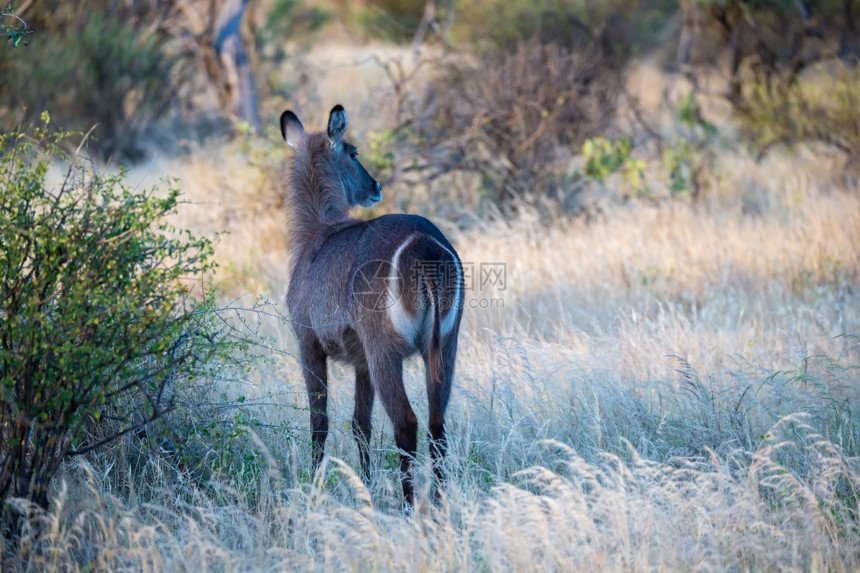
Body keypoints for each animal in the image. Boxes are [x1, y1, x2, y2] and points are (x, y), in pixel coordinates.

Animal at [280, 104, 464, 504]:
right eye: (354, 154)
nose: (376, 187)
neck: (315, 234)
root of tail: (423, 244)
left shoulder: (308, 343)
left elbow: (319, 422)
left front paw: (314, 487)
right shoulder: (361, 358)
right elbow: (360, 424)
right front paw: (365, 485)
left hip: (386, 350)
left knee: (406, 423)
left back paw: (411, 505)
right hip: (445, 345)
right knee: (437, 424)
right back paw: (439, 503)